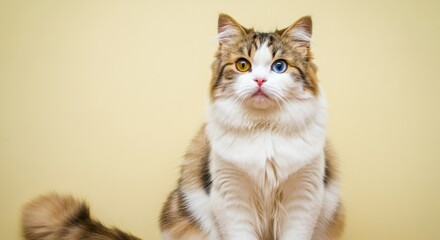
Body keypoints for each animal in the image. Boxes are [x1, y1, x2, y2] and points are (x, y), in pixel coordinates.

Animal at [160, 14, 346, 239]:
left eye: (279, 66)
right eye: (242, 65)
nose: (259, 80)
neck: (264, 128)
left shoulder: (303, 196)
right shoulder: (231, 196)